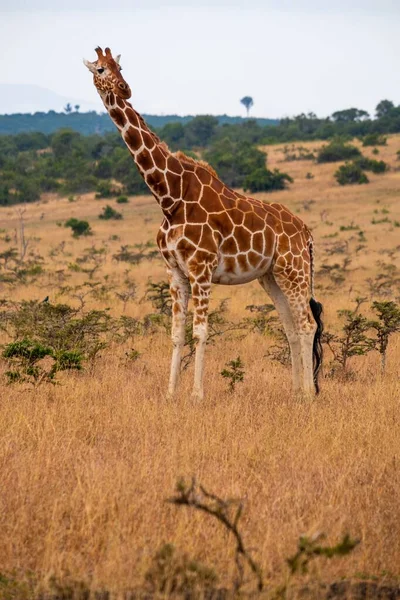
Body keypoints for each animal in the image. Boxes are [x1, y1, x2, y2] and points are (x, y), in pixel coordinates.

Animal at [83, 47, 322, 400]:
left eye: (120, 68)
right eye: (101, 68)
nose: (125, 89)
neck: (170, 197)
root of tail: (306, 233)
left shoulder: (201, 268)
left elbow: (200, 332)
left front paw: (197, 395)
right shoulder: (175, 272)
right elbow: (177, 333)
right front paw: (170, 394)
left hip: (295, 270)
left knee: (307, 324)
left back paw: (307, 394)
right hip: (271, 276)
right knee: (291, 326)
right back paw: (293, 392)